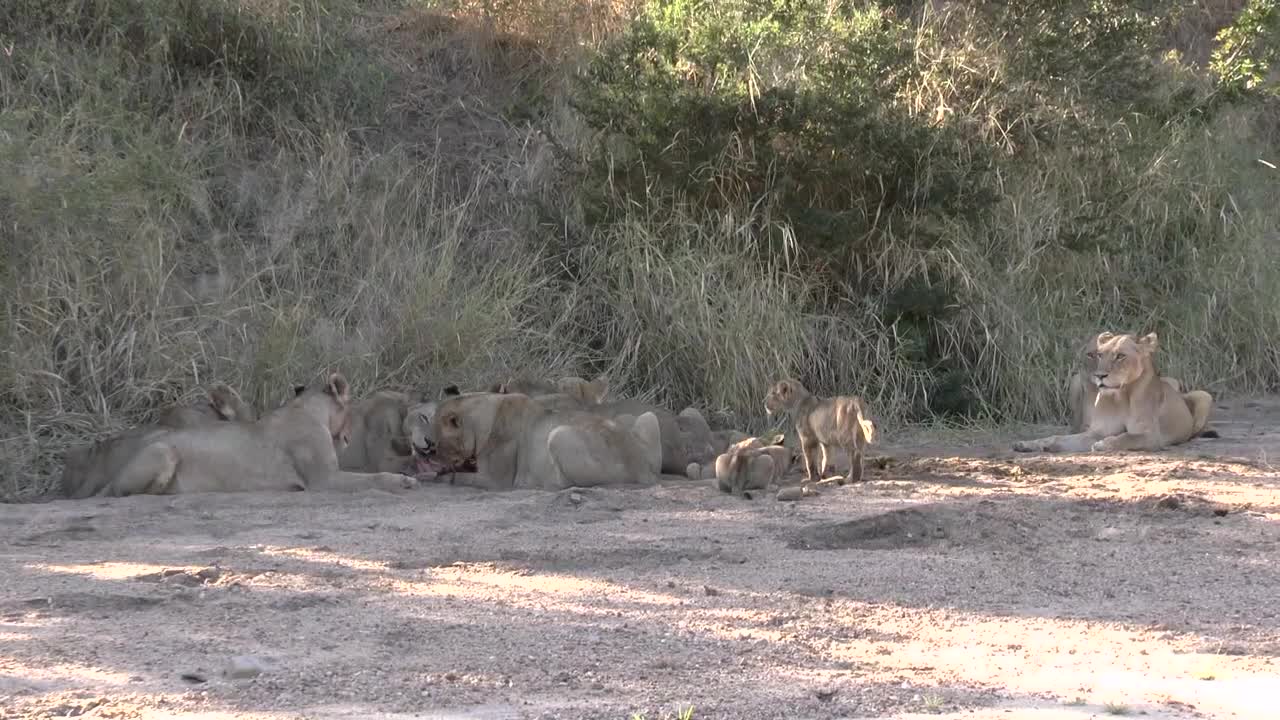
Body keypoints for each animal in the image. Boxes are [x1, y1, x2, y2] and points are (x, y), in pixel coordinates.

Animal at [81, 368, 419, 491]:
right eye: (349, 410)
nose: (348, 439)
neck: (306, 409)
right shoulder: (323, 479)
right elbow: (373, 477)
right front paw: (403, 481)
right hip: (163, 452)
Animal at [432, 389, 670, 489]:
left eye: (437, 444)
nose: (432, 453)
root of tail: (643, 470)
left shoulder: (495, 480)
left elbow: (462, 478)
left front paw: (439, 476)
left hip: (558, 435)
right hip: (646, 418)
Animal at [1013, 330, 1213, 450]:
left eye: (1120, 356)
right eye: (1100, 355)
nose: (1100, 376)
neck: (1121, 396)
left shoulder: (1151, 435)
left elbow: (1126, 437)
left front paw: (1103, 445)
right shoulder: (1096, 431)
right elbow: (1059, 438)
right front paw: (1037, 444)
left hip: (1204, 395)